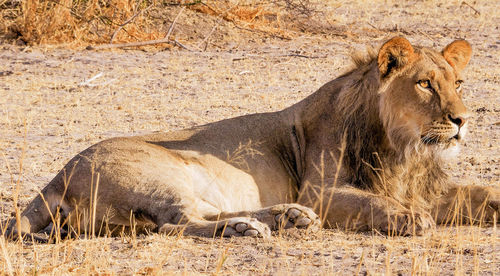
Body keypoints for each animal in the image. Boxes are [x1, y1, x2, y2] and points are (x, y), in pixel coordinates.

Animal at [4, 36, 500, 242]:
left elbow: (480, 193)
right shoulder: (321, 191)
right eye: (425, 84)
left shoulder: (422, 187)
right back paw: (252, 228)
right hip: (161, 176)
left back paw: (284, 217)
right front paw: (408, 220)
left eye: (458, 82)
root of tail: (56, 176)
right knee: (175, 224)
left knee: (200, 213)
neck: (405, 149)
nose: (461, 120)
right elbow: (375, 202)